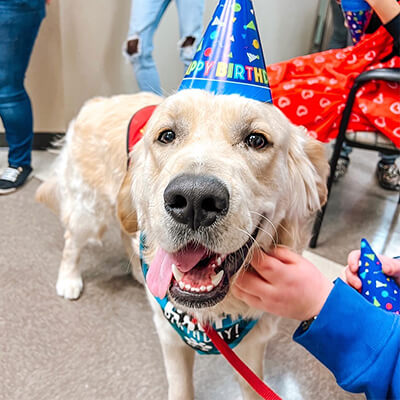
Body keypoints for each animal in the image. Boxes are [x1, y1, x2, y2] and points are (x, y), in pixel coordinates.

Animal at [35, 89, 328, 398]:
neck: (214, 317)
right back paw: (69, 279)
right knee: (72, 242)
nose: (194, 201)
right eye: (167, 136)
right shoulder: (170, 336)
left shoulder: (255, 340)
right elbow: (181, 387)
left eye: (256, 140)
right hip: (89, 211)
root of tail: (98, 101)